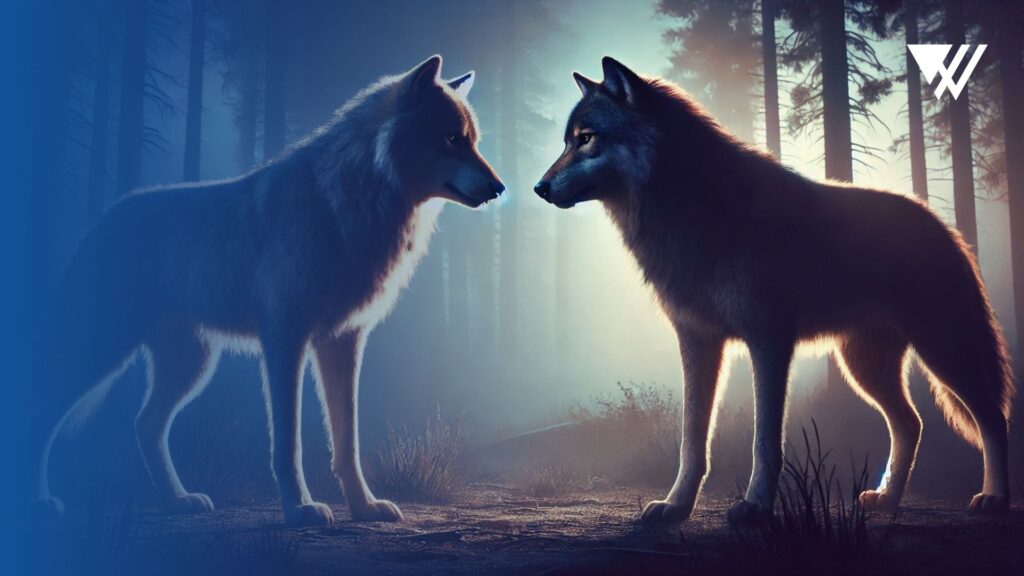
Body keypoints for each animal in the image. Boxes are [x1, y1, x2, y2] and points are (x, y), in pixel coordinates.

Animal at [30, 55, 503, 526]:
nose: (500, 188)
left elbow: (347, 441)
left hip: (192, 365)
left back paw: (178, 500)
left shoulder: (342, 341)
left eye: (473, 141)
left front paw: (364, 507)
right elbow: (288, 441)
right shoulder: (285, 340)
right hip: (106, 351)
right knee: (49, 407)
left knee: (144, 424)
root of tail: (101, 218)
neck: (345, 202)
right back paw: (41, 500)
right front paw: (299, 508)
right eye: (451, 138)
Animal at [536, 57, 1014, 526]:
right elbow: (692, 440)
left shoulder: (768, 341)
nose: (539, 187)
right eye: (568, 141)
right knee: (911, 423)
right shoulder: (698, 341)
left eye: (586, 139)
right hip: (863, 366)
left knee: (993, 417)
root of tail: (944, 227)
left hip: (941, 353)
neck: (696, 208)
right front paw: (676, 506)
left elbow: (764, 441)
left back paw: (994, 497)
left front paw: (755, 507)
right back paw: (888, 499)